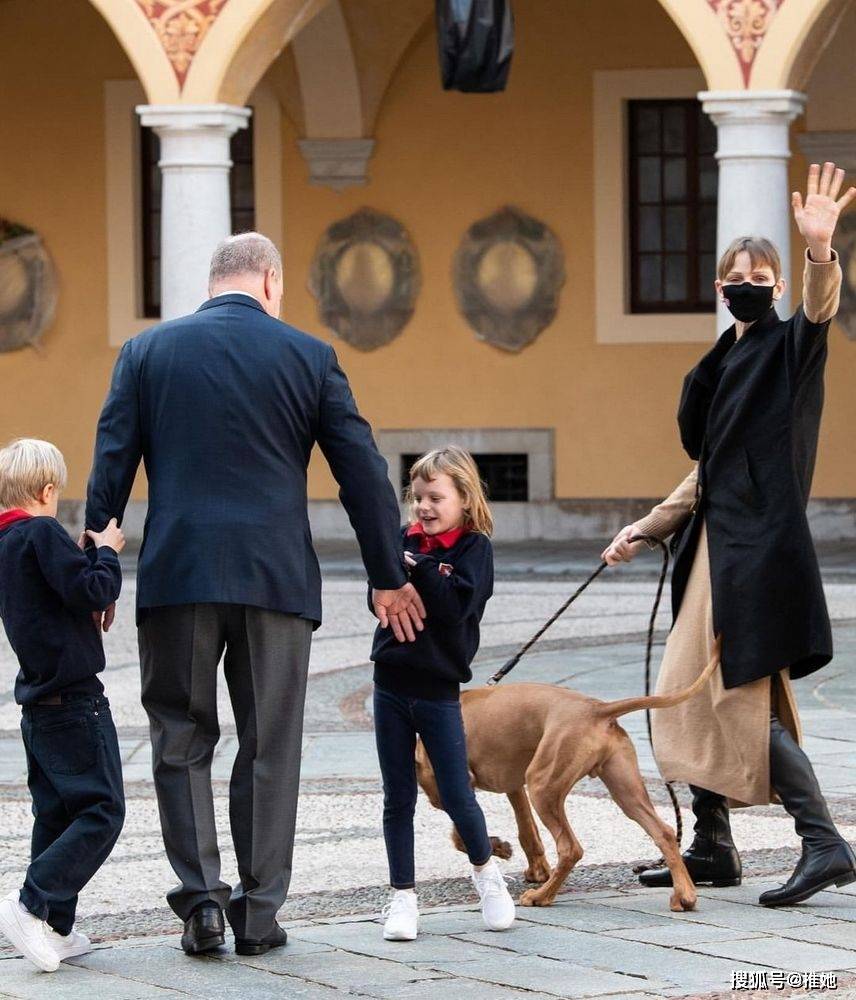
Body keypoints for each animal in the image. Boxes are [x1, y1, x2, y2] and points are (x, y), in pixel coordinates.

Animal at [416, 640, 724, 916]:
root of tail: (597, 708)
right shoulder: (515, 786)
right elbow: (526, 831)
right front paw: (527, 863)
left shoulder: (453, 788)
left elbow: (459, 834)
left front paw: (495, 847)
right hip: (624, 790)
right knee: (664, 832)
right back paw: (685, 896)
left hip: (543, 786)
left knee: (570, 848)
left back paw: (541, 897)